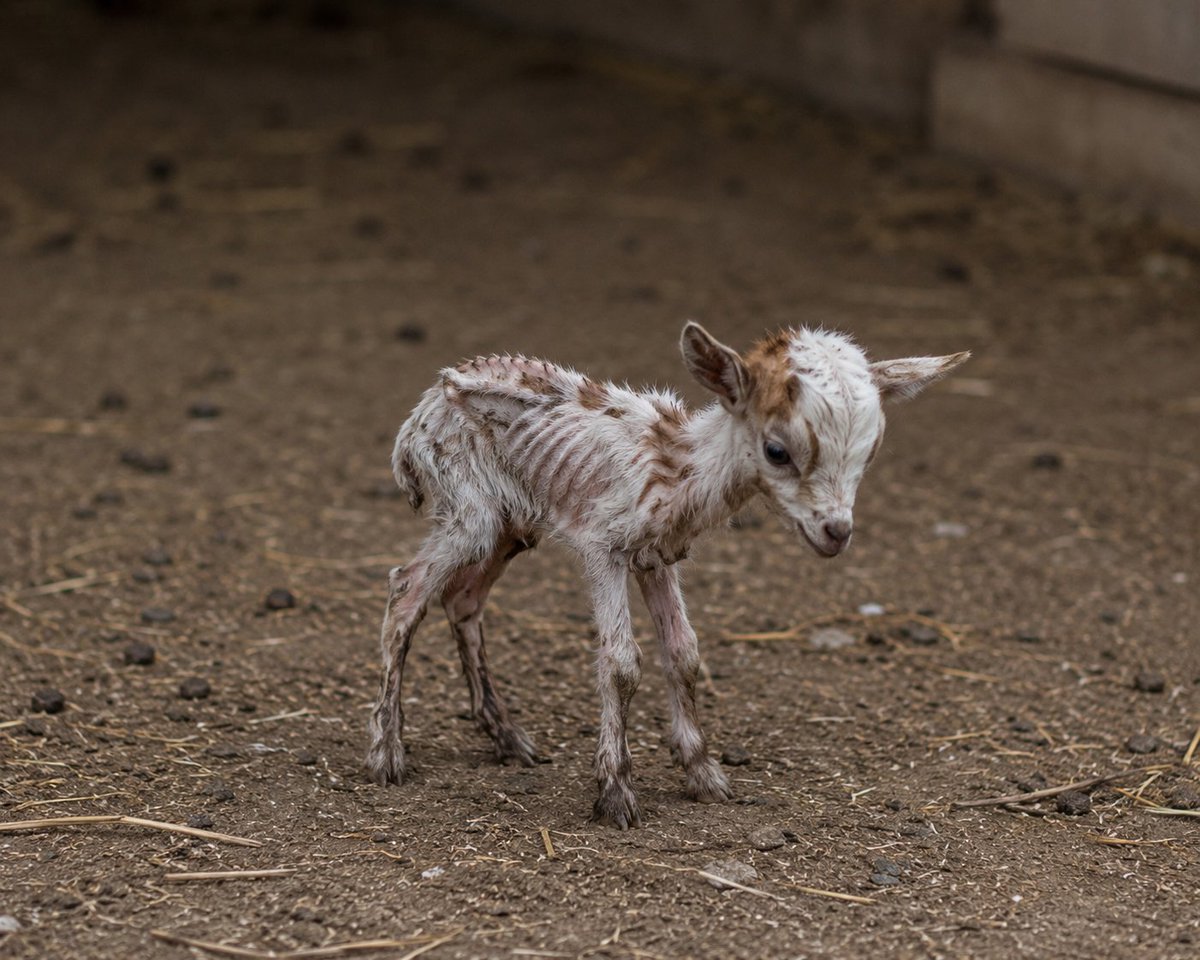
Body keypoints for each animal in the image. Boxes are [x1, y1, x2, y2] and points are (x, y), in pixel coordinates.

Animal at [367, 322, 968, 827]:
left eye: (869, 455)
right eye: (777, 450)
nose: (836, 532)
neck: (677, 468)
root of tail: (415, 419)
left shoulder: (657, 557)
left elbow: (684, 653)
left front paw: (704, 775)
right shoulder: (602, 546)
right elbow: (621, 663)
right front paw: (616, 794)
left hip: (510, 522)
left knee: (463, 599)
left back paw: (508, 739)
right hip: (468, 505)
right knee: (406, 589)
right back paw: (387, 754)